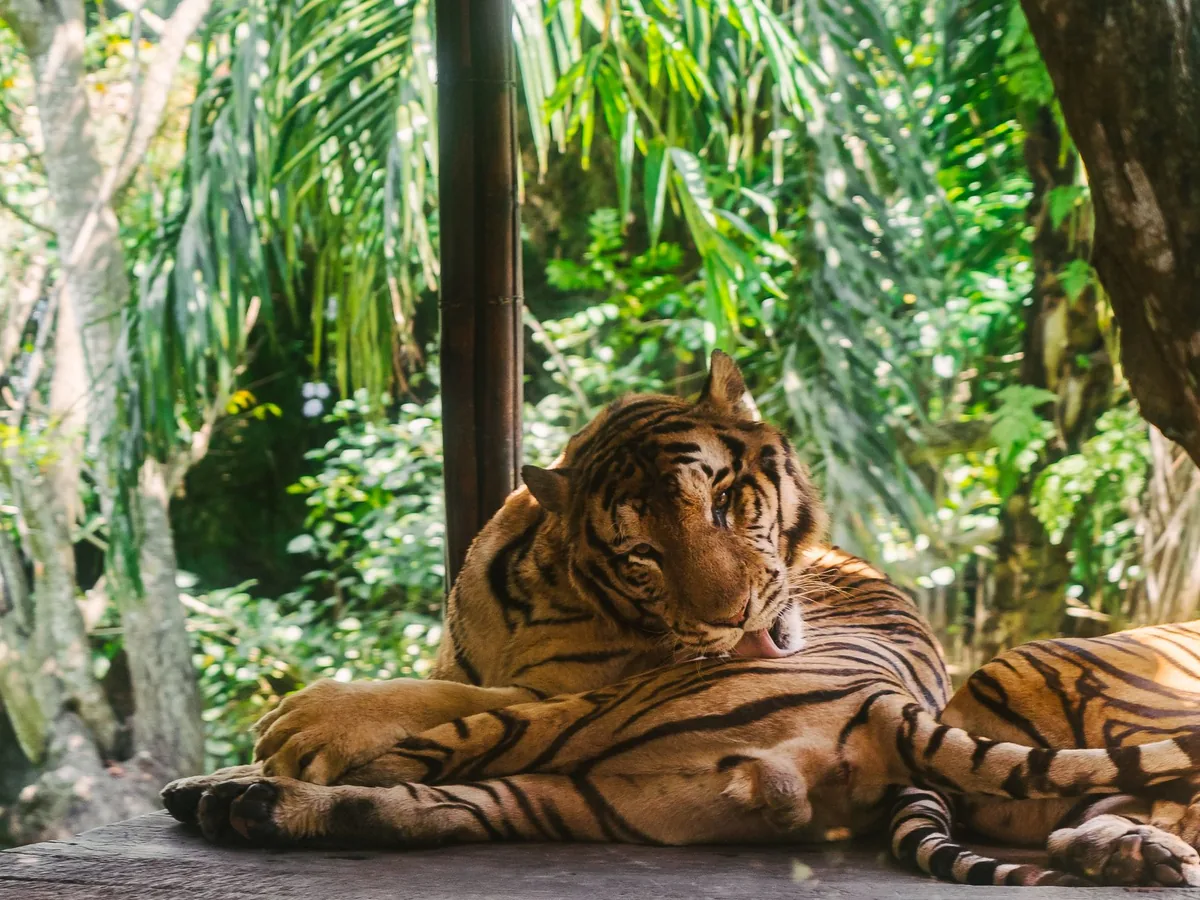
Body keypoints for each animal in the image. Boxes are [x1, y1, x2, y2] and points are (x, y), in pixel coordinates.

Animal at [161, 351, 1200, 886]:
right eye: (643, 554)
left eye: (726, 504)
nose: (736, 624)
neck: (540, 587)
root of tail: (888, 713)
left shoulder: (577, 682)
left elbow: (426, 696)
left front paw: (300, 726)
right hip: (583, 793)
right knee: (431, 803)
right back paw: (238, 803)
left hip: (593, 728)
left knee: (450, 752)